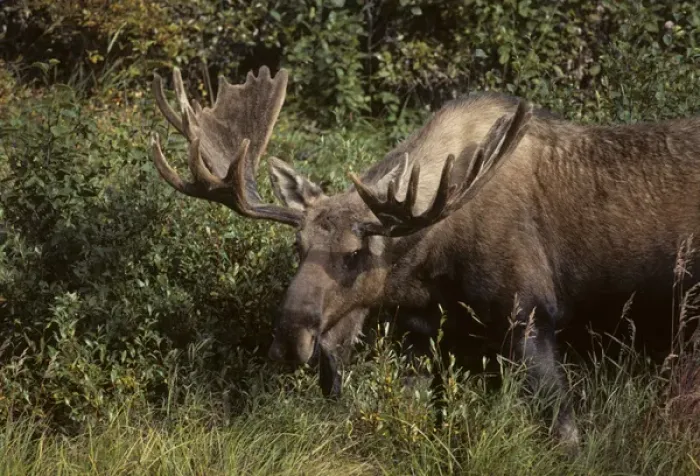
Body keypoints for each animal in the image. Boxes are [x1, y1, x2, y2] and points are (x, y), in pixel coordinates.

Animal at [149, 65, 700, 448]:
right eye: (297, 246)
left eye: (356, 252)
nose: (289, 339)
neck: (430, 260)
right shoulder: (424, 331)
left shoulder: (530, 313)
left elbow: (565, 431)